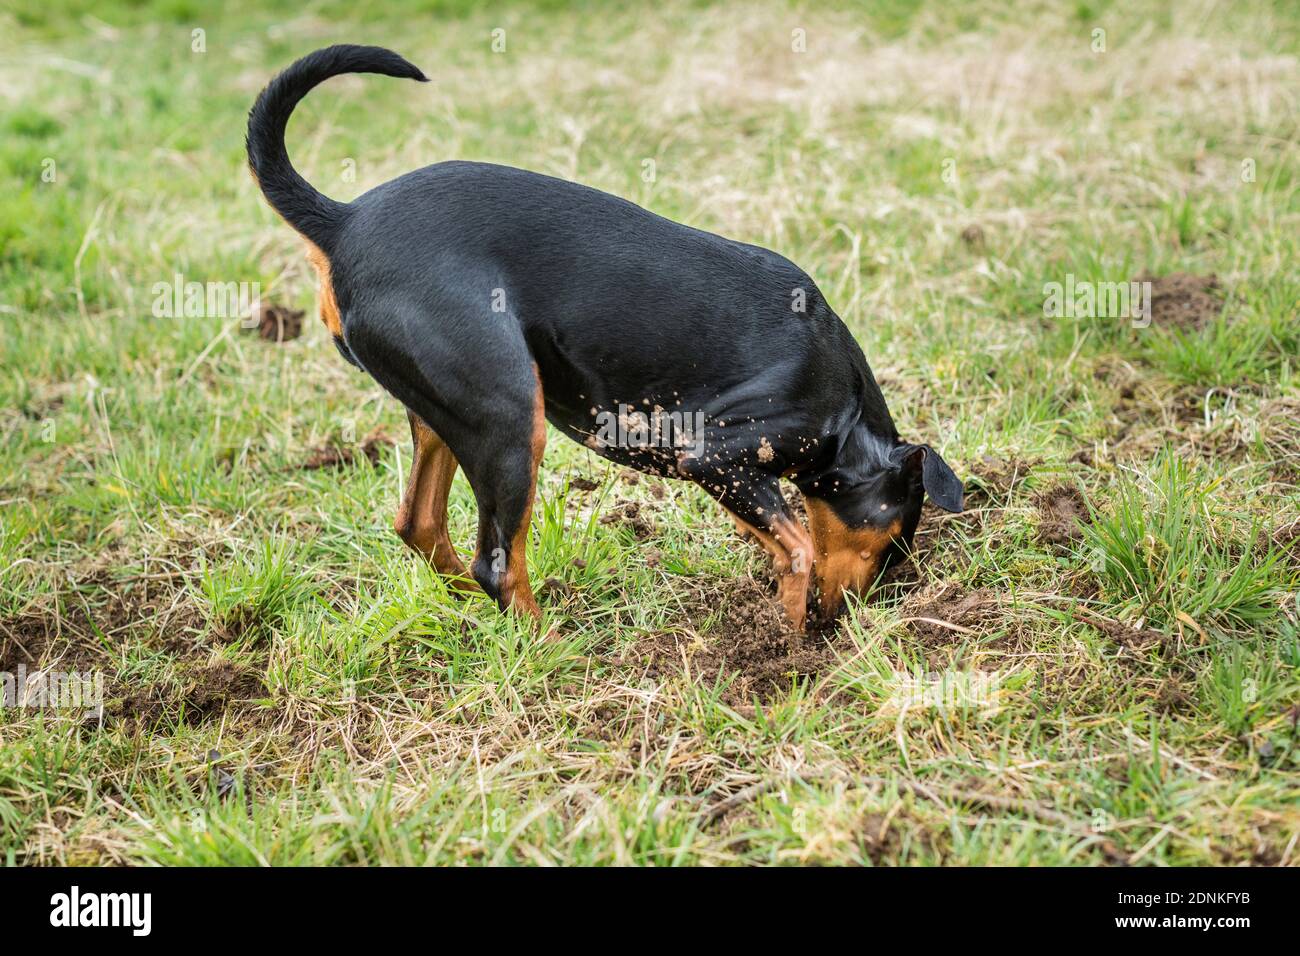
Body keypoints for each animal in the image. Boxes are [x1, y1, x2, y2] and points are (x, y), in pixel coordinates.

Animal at [248, 44, 967, 632]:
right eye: (891, 542)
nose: (843, 619)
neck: (842, 407)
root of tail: (343, 221)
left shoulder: (729, 477)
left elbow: (788, 543)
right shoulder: (711, 456)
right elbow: (800, 550)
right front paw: (789, 645)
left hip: (446, 414)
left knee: (421, 526)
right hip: (510, 418)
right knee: (497, 565)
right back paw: (546, 648)